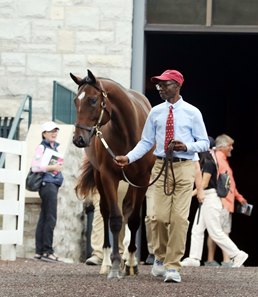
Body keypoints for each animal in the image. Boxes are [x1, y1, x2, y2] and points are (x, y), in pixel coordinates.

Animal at [70, 69, 155, 278]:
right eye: (76, 100)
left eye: (93, 100)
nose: (78, 139)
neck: (128, 133)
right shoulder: (108, 176)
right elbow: (115, 219)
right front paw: (115, 264)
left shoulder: (142, 179)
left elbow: (133, 219)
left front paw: (131, 262)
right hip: (99, 177)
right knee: (105, 212)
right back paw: (107, 262)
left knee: (127, 210)